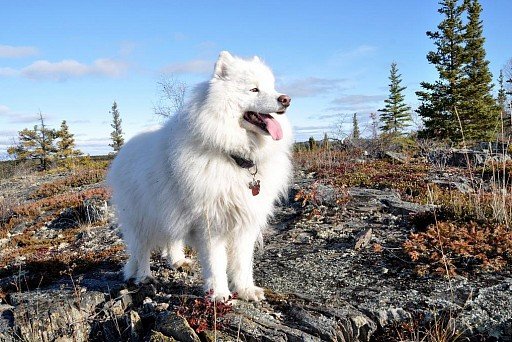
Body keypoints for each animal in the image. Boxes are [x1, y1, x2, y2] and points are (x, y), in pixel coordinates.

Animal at [108, 50, 292, 300]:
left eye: (272, 87)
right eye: (254, 89)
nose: (286, 99)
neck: (235, 157)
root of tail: (124, 150)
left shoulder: (245, 223)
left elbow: (243, 263)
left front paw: (245, 290)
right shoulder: (210, 224)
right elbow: (216, 263)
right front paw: (219, 295)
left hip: (169, 209)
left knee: (171, 238)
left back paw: (177, 260)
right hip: (141, 218)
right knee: (141, 249)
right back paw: (144, 276)